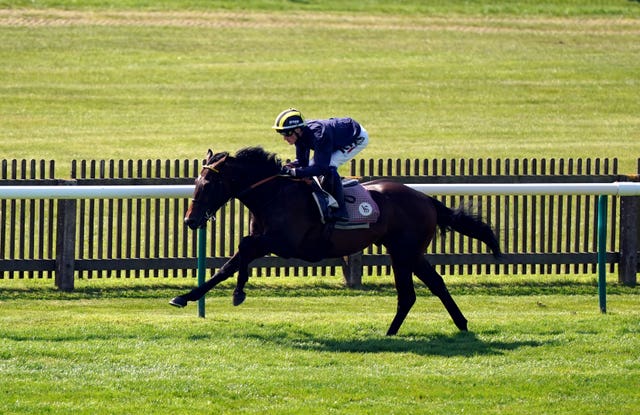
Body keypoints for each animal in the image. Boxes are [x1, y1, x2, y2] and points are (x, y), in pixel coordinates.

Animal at [169, 148, 500, 336]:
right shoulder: (269, 239)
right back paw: (452, 325)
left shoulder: (285, 243)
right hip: (407, 252)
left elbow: (240, 252)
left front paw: (195, 296)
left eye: (208, 183)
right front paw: (228, 292)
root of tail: (426, 198)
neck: (273, 195)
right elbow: (238, 256)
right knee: (428, 286)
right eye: (196, 182)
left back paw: (397, 332)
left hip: (405, 251)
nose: (190, 221)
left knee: (414, 292)